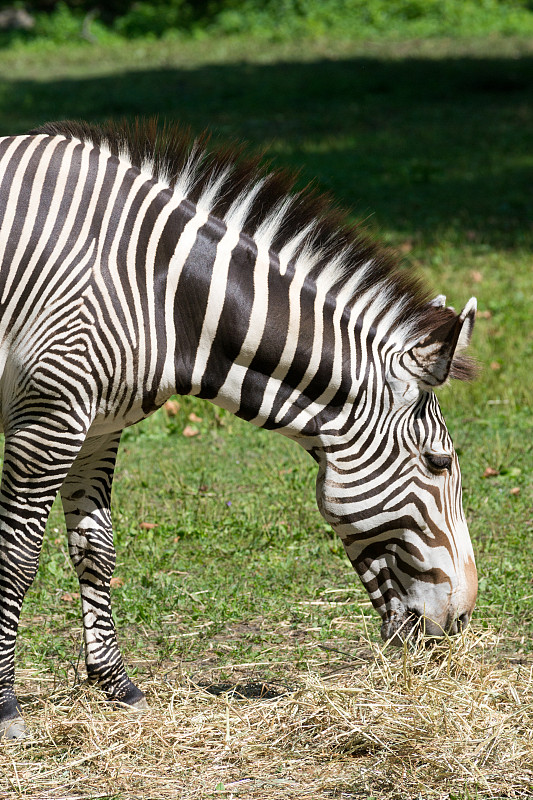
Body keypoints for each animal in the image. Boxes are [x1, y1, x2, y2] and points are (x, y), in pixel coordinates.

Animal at [0, 119, 478, 736]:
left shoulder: (99, 427)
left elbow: (95, 550)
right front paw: (5, 705)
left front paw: (116, 686)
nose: (461, 618)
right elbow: (16, 557)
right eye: (439, 463)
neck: (159, 292)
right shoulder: (48, 416)